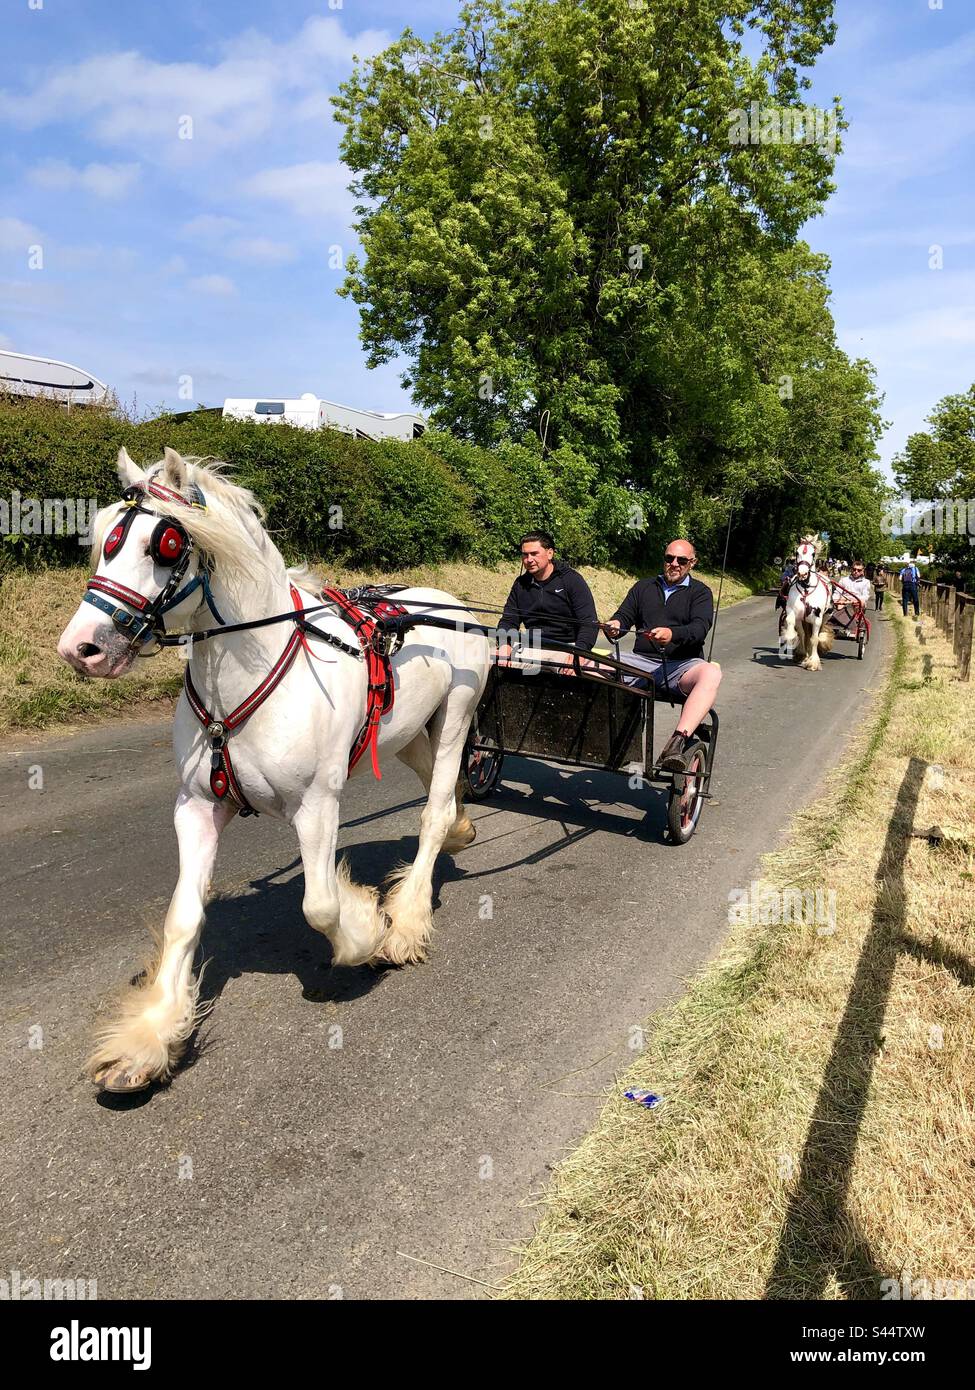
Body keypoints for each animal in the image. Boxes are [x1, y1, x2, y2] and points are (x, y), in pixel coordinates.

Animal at [56, 447, 490, 1094]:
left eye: (165, 545)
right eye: (103, 535)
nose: (81, 647)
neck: (249, 671)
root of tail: (453, 603)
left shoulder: (317, 805)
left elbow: (320, 906)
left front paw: (368, 928)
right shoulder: (197, 806)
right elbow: (183, 916)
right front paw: (149, 1037)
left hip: (457, 717)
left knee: (434, 811)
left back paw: (407, 920)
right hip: (411, 733)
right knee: (443, 792)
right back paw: (460, 831)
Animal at [779, 535, 834, 671]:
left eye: (813, 553)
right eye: (796, 552)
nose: (802, 573)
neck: (806, 589)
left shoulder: (817, 618)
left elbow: (814, 638)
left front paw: (813, 662)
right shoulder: (794, 613)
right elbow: (798, 630)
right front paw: (798, 648)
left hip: (826, 616)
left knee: (817, 634)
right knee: (805, 634)